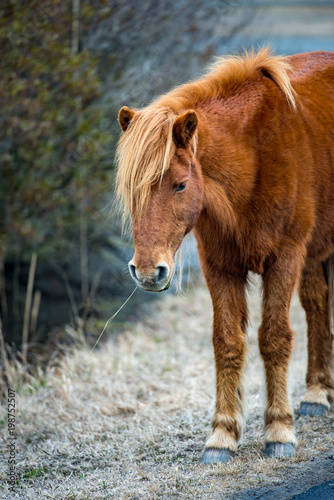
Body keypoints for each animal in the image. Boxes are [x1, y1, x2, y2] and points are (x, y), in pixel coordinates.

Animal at [115, 48, 334, 462]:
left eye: (180, 185)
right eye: (132, 190)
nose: (149, 272)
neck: (255, 156)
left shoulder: (284, 259)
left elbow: (275, 338)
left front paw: (279, 431)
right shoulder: (219, 266)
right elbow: (227, 341)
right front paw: (222, 435)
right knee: (317, 305)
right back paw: (317, 394)